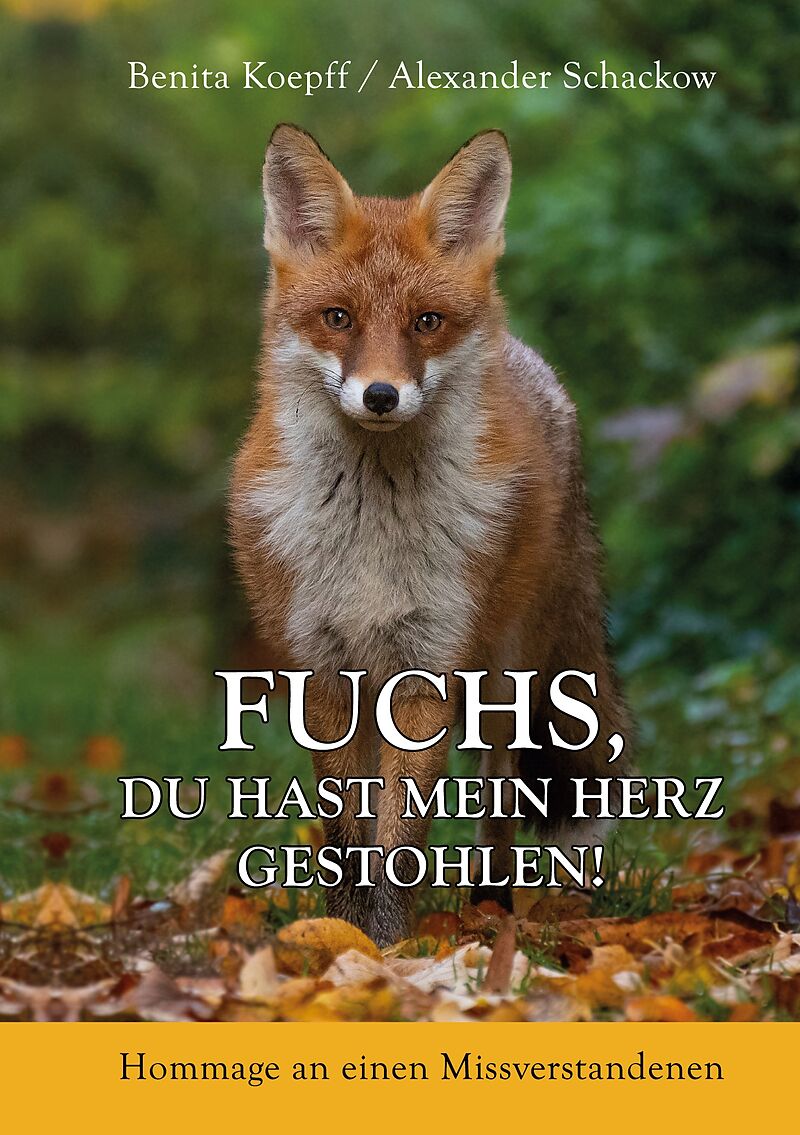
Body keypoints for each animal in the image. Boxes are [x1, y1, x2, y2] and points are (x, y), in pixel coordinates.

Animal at [230, 124, 632, 946]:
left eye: (426, 322)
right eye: (339, 318)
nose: (381, 394)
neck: (370, 541)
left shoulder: (426, 669)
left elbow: (400, 839)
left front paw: (388, 948)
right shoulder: (325, 671)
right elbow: (347, 835)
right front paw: (342, 935)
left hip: (507, 674)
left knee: (500, 796)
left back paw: (492, 905)